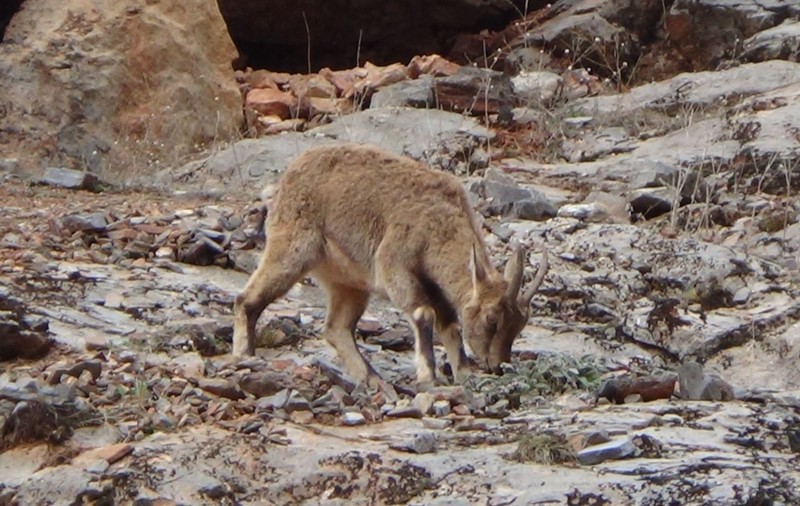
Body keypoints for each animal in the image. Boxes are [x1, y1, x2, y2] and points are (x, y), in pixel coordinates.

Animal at [228, 142, 548, 388]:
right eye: (492, 319)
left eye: (520, 325)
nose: (497, 365)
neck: (439, 223)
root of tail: (289, 175)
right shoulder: (396, 266)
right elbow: (424, 314)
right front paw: (428, 375)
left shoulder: (435, 287)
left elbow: (450, 324)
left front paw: (464, 374)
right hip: (292, 250)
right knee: (247, 299)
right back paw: (245, 355)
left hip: (348, 283)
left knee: (336, 328)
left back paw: (372, 378)